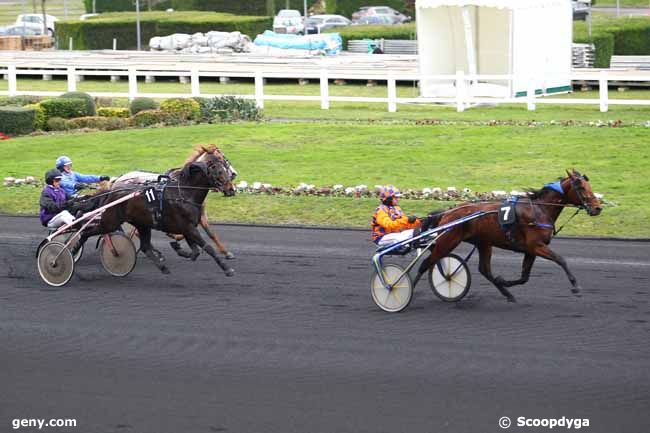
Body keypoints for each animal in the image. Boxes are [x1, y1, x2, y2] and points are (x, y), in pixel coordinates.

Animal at [74, 149, 235, 276]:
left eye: (225, 164)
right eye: (219, 170)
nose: (231, 189)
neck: (184, 193)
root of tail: (114, 189)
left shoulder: (190, 226)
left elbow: (197, 248)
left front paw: (178, 248)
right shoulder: (188, 227)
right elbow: (207, 247)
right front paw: (227, 268)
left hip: (141, 224)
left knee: (145, 246)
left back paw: (162, 265)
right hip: (110, 221)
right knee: (86, 232)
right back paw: (75, 249)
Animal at [416, 169, 604, 300]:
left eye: (589, 186)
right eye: (580, 187)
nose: (597, 208)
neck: (539, 210)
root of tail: (447, 213)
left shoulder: (530, 250)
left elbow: (524, 277)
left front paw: (504, 281)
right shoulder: (535, 245)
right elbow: (561, 260)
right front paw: (576, 287)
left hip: (484, 243)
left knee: (484, 270)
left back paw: (506, 293)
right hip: (447, 241)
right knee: (425, 264)